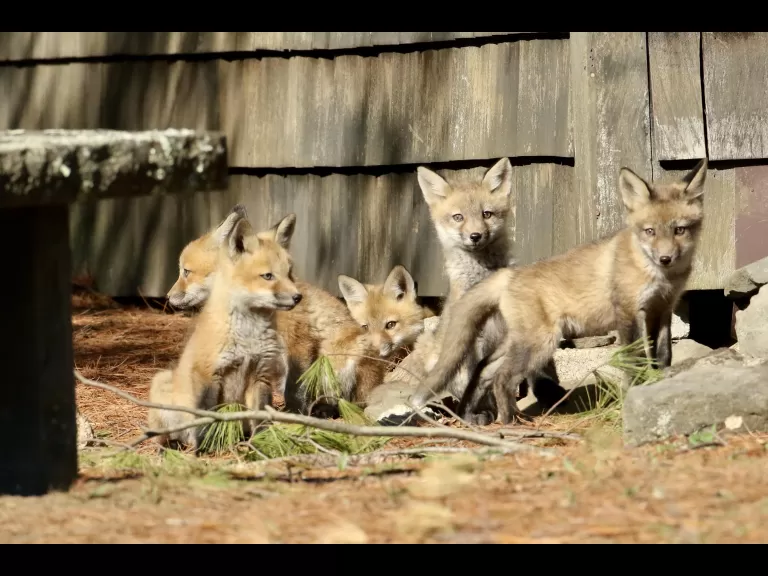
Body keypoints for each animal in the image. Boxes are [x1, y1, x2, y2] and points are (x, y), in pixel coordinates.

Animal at [147, 213, 302, 450]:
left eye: (289, 274)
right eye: (268, 276)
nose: (298, 297)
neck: (248, 336)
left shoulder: (260, 374)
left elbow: (259, 419)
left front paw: (259, 444)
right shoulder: (210, 375)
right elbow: (207, 417)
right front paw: (204, 448)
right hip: (163, 385)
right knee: (167, 434)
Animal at [165, 205, 385, 416]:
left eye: (186, 272)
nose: (167, 297)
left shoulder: (299, 343)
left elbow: (296, 389)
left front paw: (293, 416)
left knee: (352, 402)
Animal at [382, 158, 564, 424]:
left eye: (486, 214)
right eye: (458, 217)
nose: (475, 236)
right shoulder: (472, 339)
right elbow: (476, 380)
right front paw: (481, 413)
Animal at [410, 159, 709, 424]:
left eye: (679, 230)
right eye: (649, 231)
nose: (665, 258)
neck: (659, 274)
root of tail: (509, 275)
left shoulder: (663, 308)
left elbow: (663, 355)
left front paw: (661, 382)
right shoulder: (628, 313)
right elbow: (634, 360)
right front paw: (637, 391)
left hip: (518, 341)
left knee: (484, 369)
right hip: (541, 342)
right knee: (501, 378)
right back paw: (509, 422)